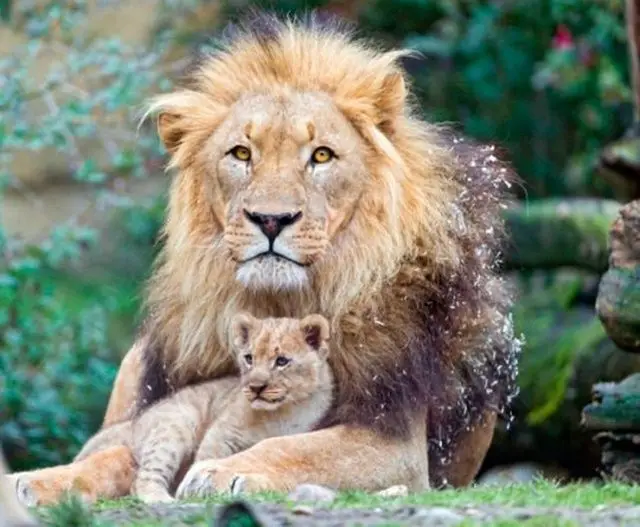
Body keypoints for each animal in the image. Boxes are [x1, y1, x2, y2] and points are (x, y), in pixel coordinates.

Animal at [11, 13, 519, 503]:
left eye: (321, 156)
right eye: (241, 153)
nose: (271, 220)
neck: (277, 303)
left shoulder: (394, 439)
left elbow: (297, 446)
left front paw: (221, 470)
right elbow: (119, 453)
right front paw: (38, 480)